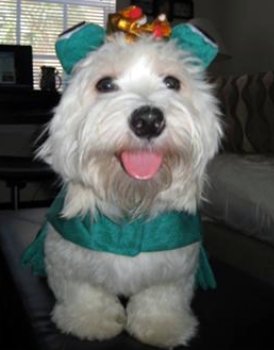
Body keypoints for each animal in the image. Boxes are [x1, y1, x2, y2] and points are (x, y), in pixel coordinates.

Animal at [25, 26, 223, 348]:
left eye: (172, 82)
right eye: (105, 84)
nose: (149, 120)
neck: (131, 204)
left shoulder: (176, 266)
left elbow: (162, 298)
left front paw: (162, 326)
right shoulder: (67, 258)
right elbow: (85, 293)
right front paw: (91, 321)